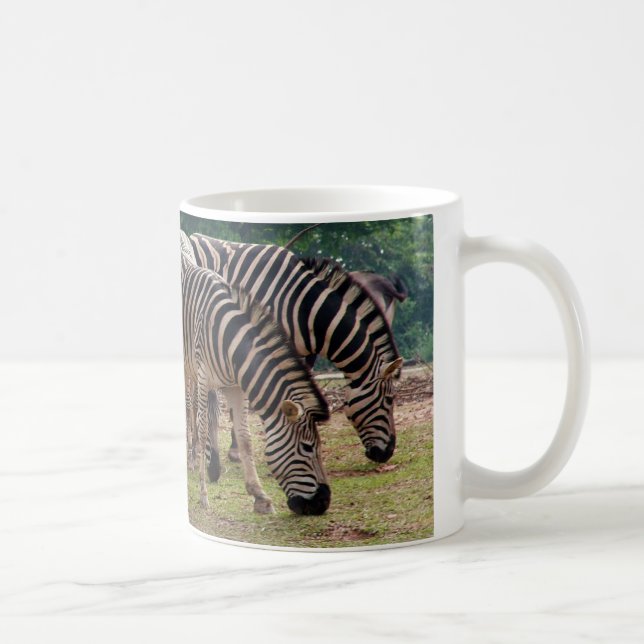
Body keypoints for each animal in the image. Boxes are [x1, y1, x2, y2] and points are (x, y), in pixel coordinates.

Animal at [180, 232, 331, 516]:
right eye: (308, 447)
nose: (323, 502)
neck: (228, 340)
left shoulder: (235, 387)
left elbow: (245, 437)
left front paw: (259, 496)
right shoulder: (205, 377)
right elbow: (204, 428)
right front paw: (204, 495)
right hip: (188, 367)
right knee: (190, 407)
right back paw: (192, 461)